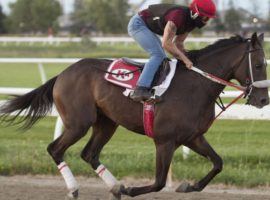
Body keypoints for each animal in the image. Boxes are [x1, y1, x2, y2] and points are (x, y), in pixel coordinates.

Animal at [0, 32, 268, 198]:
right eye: (258, 65)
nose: (263, 99)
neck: (196, 86)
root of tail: (64, 72)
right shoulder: (165, 140)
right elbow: (159, 182)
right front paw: (130, 190)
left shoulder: (193, 137)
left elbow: (218, 163)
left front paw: (189, 186)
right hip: (78, 123)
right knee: (55, 149)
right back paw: (75, 189)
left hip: (106, 123)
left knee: (89, 154)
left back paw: (114, 187)